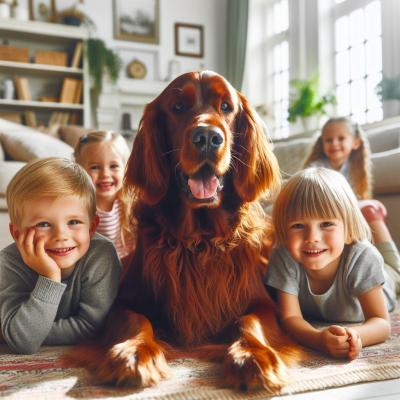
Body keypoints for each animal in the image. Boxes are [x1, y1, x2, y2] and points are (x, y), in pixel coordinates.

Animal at [70, 72, 298, 394]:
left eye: (226, 107)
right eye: (177, 107)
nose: (207, 138)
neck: (199, 239)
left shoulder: (262, 302)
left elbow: (250, 322)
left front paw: (253, 355)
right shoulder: (123, 301)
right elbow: (135, 319)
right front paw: (135, 351)